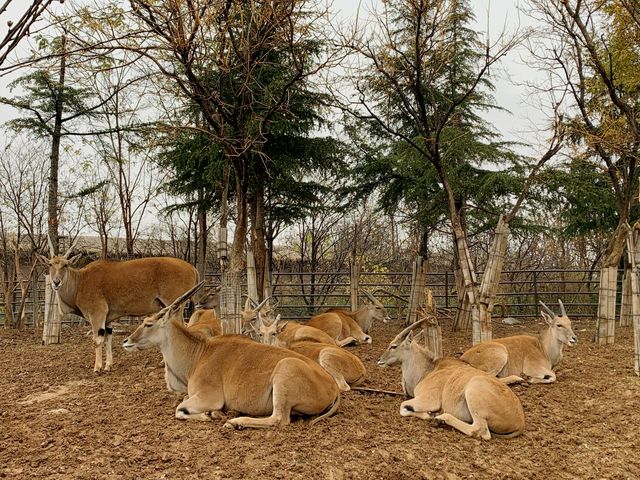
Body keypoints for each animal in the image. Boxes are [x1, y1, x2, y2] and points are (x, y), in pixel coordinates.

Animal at [37, 238, 198, 374]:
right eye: (50, 264)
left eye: (65, 265)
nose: (56, 282)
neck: (80, 281)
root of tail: (192, 267)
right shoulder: (107, 319)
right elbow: (108, 339)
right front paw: (108, 365)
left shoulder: (97, 314)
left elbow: (97, 340)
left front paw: (97, 368)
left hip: (175, 305)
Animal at [120, 284, 340, 430]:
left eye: (148, 324)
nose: (126, 341)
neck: (199, 354)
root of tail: (333, 387)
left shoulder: (209, 397)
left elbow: (180, 409)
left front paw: (211, 415)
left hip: (285, 370)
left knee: (279, 419)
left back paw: (235, 422)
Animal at [378, 320, 524, 440]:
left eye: (394, 346)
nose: (380, 360)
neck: (428, 370)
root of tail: (520, 422)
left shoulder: (429, 400)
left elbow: (403, 407)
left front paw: (429, 414)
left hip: (473, 390)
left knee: (480, 431)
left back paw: (441, 418)